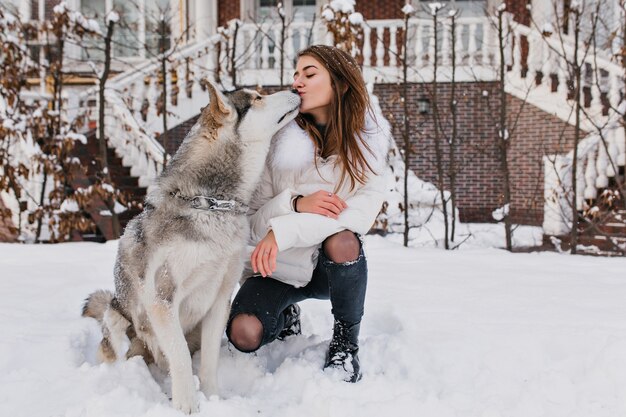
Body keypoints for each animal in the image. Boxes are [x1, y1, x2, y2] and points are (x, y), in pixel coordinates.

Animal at [82, 83, 300, 412]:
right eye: (257, 98)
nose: (296, 88)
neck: (211, 204)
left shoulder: (221, 299)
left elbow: (208, 361)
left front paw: (213, 398)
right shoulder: (163, 300)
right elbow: (181, 357)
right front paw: (187, 406)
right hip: (116, 316)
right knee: (122, 351)